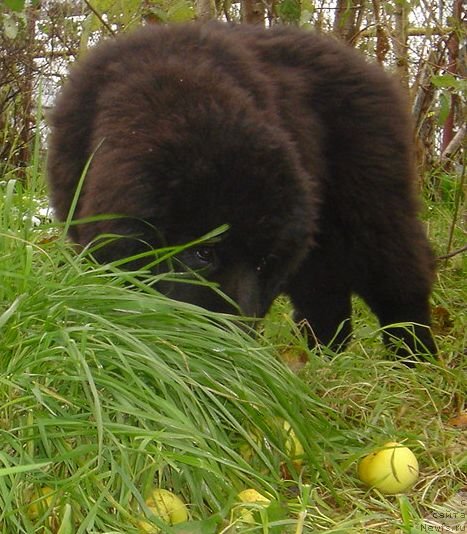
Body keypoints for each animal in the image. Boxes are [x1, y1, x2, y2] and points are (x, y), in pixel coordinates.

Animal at [45, 22, 436, 356]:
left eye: (264, 263)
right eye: (203, 253)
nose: (232, 343)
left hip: (372, 205)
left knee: (398, 284)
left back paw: (414, 364)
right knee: (325, 295)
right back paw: (324, 361)